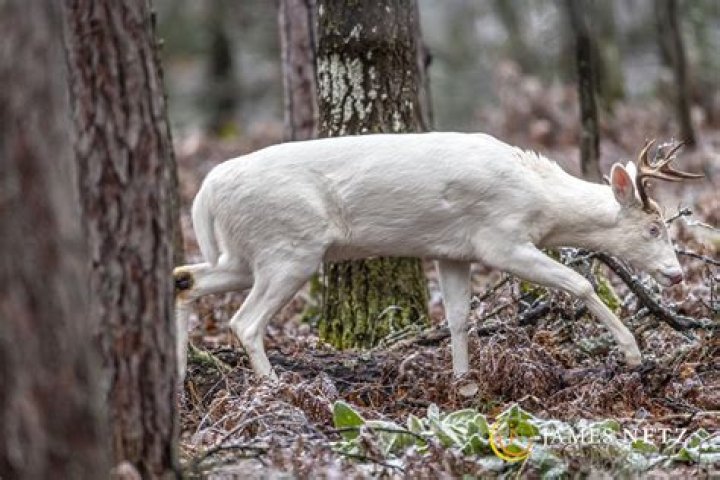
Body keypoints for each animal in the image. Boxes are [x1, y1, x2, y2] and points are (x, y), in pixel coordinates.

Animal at [173, 133, 701, 381]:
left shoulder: (453, 251)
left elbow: (457, 318)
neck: (540, 202)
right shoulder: (499, 239)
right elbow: (581, 282)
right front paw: (632, 353)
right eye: (654, 228)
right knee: (244, 321)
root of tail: (206, 190)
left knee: (185, 277)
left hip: (245, 255)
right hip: (288, 248)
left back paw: (178, 377)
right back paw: (274, 388)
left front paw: (463, 381)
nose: (676, 274)